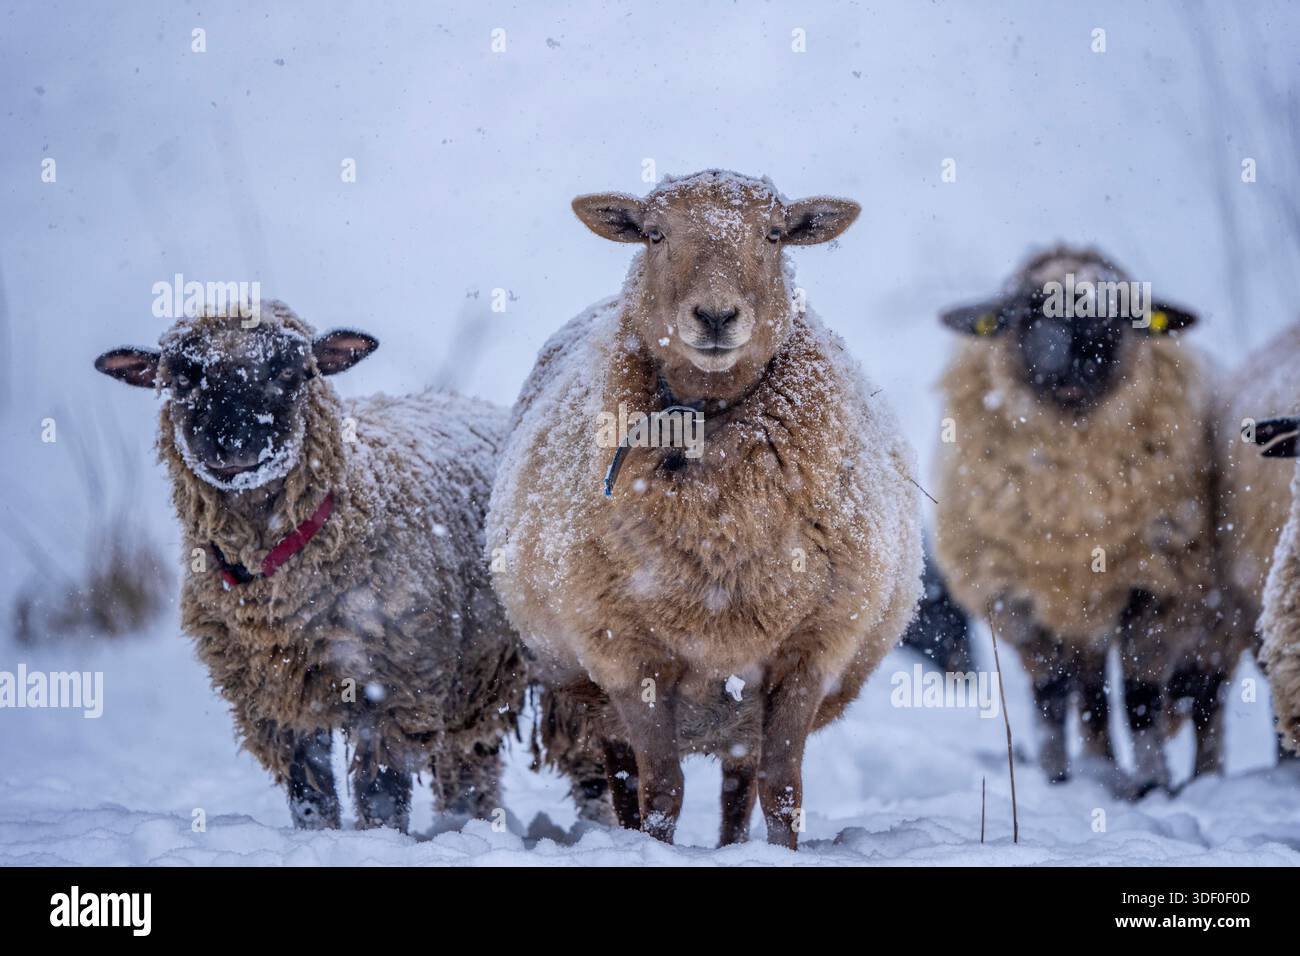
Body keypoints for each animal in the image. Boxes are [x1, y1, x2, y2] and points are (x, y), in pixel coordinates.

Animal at [94, 300, 525, 830]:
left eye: (290, 372)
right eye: (181, 378)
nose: (232, 442)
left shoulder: (396, 685)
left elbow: (381, 791)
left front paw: (378, 839)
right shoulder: (273, 696)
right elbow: (309, 790)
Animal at [487, 170, 923, 848]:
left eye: (774, 234)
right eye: (655, 233)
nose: (716, 315)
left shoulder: (812, 649)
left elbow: (783, 790)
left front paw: (784, 853)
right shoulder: (623, 652)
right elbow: (661, 790)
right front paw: (653, 848)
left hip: (739, 708)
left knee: (740, 784)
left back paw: (733, 846)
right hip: (595, 691)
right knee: (623, 779)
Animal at [932, 245, 1226, 795]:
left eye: (1123, 311)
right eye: (1026, 310)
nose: (1078, 358)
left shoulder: (1157, 587)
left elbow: (1140, 697)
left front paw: (1153, 785)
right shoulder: (1015, 599)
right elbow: (1051, 694)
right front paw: (1057, 778)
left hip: (1213, 624)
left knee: (1204, 699)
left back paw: (1205, 779)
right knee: (1088, 692)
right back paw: (1100, 769)